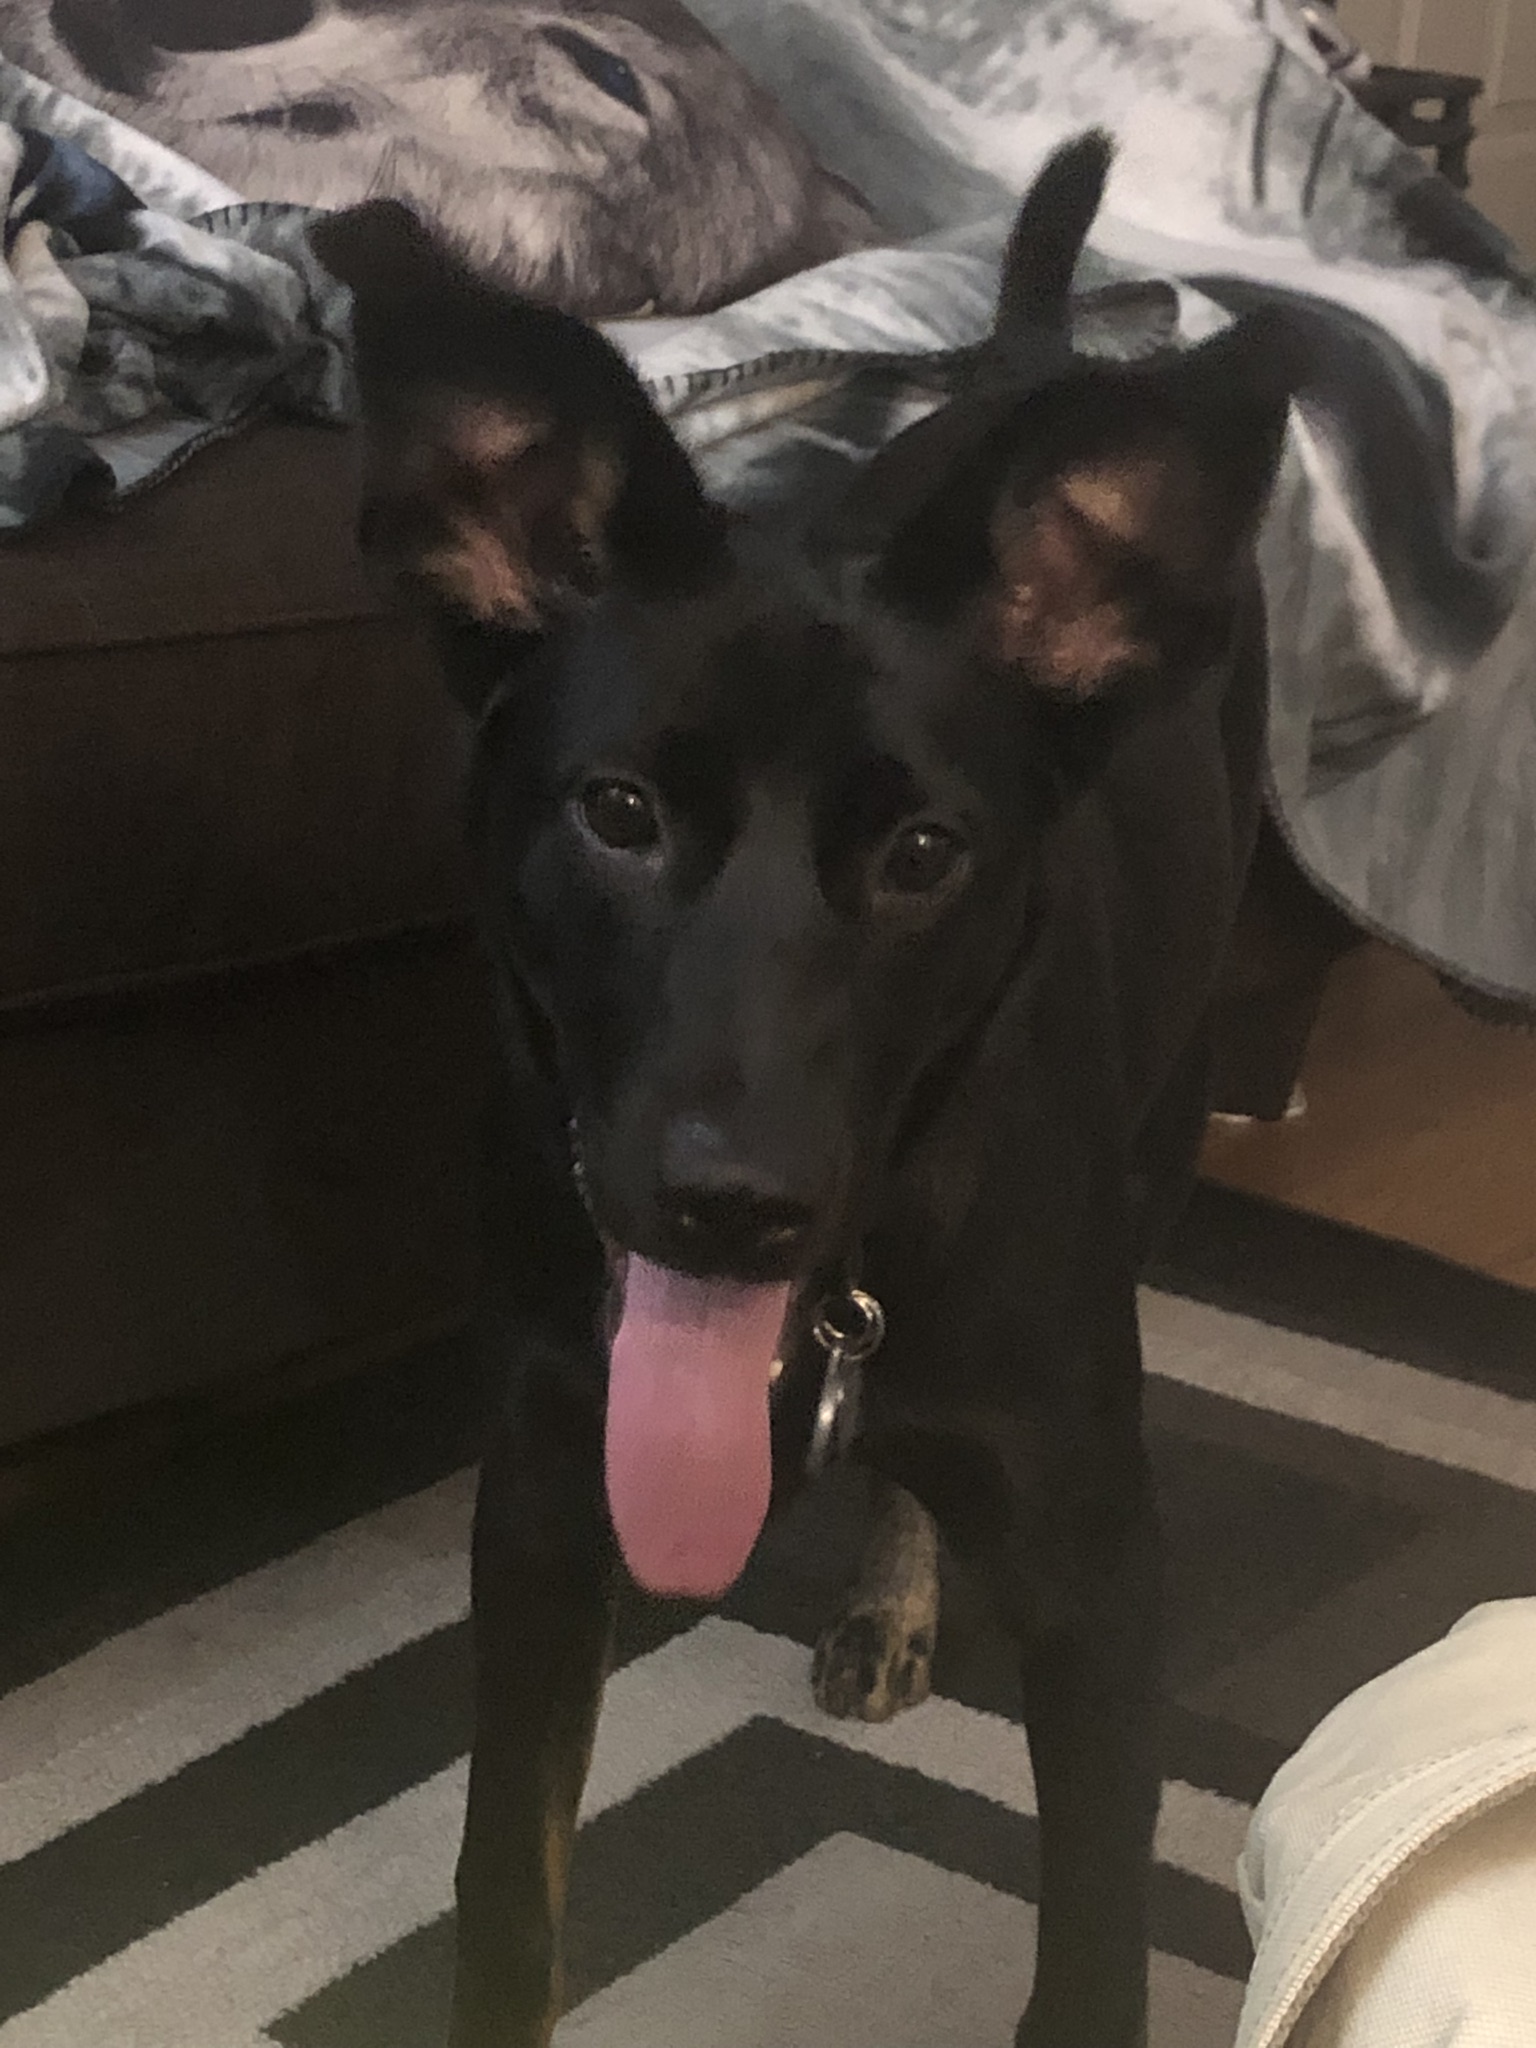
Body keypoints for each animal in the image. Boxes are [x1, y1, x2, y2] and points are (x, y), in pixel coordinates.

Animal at [308, 130, 1296, 2048]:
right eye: (616, 811)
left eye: (923, 854)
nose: (728, 1204)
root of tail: (1022, 358)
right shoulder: (543, 1506)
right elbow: (506, 1893)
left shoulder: (1097, 1575)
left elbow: (1095, 1946)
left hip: (1169, 1126)